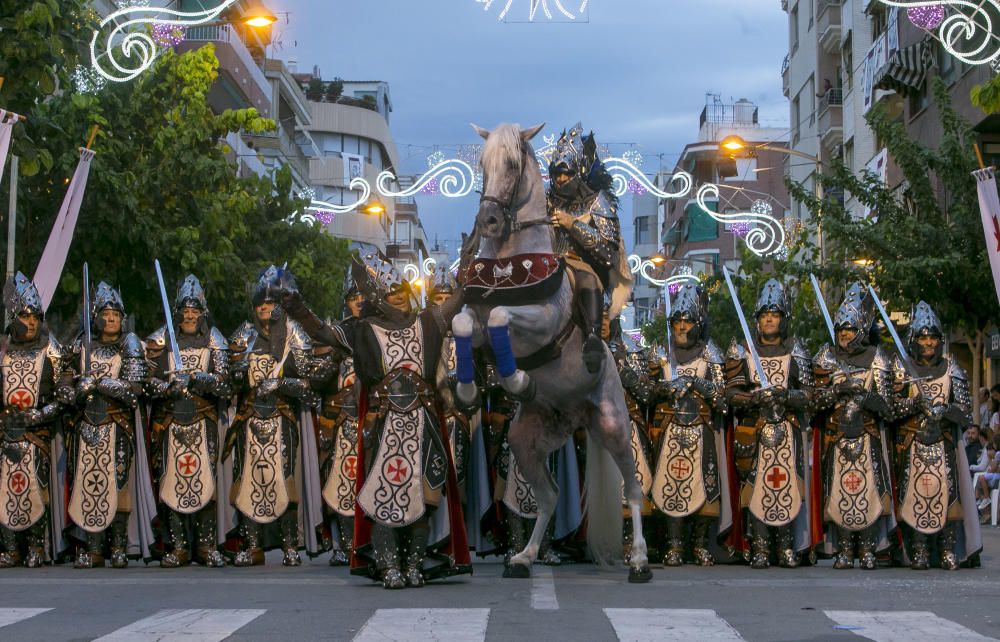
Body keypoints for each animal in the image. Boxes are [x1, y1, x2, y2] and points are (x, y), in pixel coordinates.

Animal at [452, 122, 652, 584]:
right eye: (482, 162)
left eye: (512, 162)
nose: (488, 221)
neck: (509, 263)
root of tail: (578, 414)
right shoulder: (472, 314)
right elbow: (463, 325)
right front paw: (470, 390)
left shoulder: (539, 319)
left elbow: (500, 318)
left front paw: (516, 379)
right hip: (526, 440)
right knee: (549, 496)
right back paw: (524, 556)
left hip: (614, 424)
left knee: (632, 487)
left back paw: (638, 560)